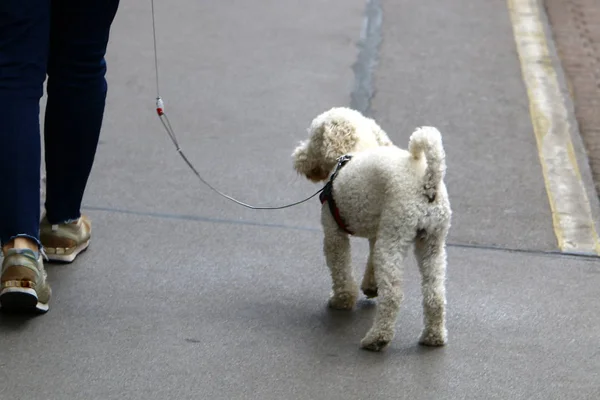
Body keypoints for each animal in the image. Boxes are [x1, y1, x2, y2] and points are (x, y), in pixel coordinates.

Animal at [290, 108, 450, 352]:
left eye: (313, 137)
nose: (297, 157)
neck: (351, 154)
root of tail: (428, 182)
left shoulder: (334, 234)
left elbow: (340, 268)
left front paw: (342, 300)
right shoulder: (377, 232)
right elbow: (371, 262)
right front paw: (370, 287)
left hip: (394, 238)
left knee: (393, 294)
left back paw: (377, 338)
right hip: (432, 242)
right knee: (435, 293)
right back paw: (434, 337)